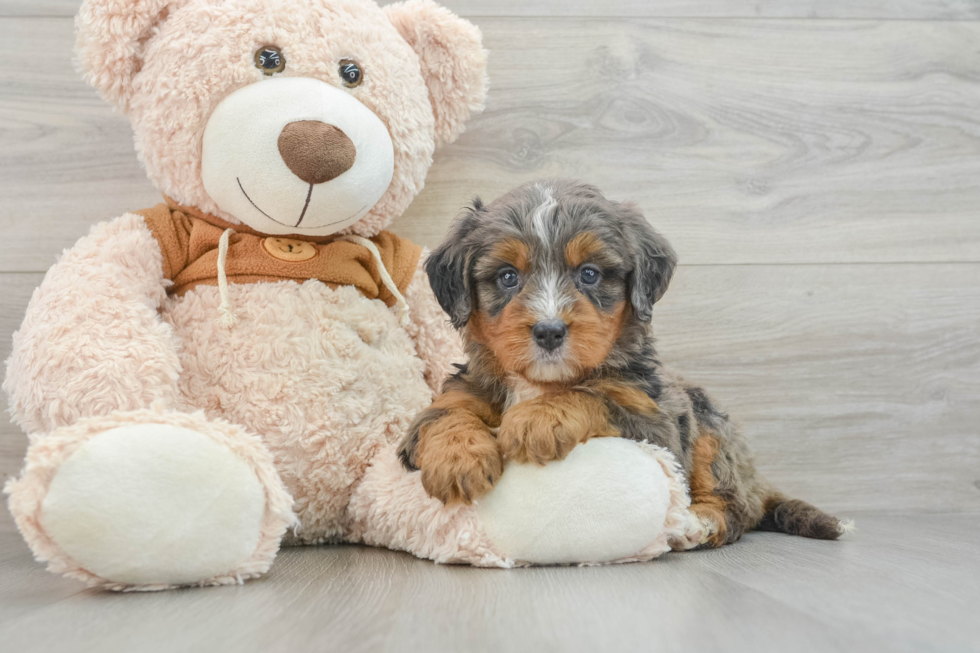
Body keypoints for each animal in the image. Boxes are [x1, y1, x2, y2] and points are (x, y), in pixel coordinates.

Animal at [398, 180, 844, 552]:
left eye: (589, 274)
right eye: (508, 277)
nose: (549, 331)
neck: (539, 383)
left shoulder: (658, 425)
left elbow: (593, 395)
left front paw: (538, 418)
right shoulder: (455, 396)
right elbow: (445, 416)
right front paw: (457, 460)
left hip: (710, 432)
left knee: (734, 507)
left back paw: (699, 523)